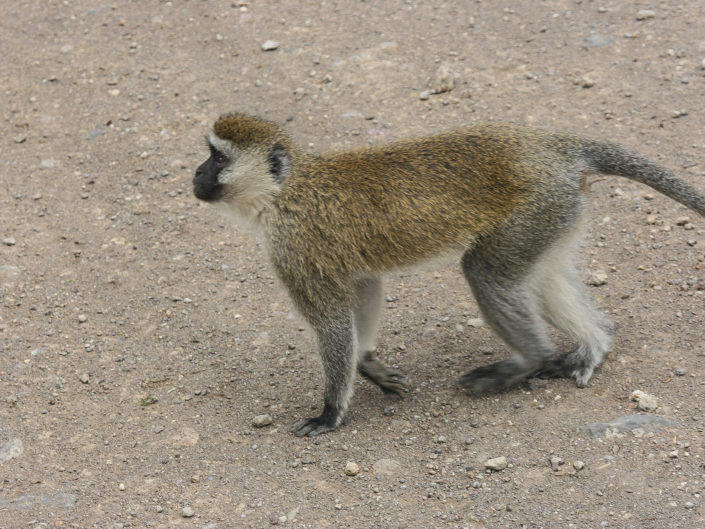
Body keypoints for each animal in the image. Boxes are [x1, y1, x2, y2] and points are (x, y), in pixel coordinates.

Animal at [192, 113, 704, 436]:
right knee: (542, 277)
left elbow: (332, 322)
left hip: (535, 208)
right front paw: (370, 364)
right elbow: (364, 287)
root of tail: (549, 144)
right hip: (555, 213)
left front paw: (331, 412)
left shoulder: (295, 244)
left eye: (218, 159)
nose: (195, 174)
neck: (283, 190)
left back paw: (530, 360)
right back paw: (593, 343)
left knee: (485, 273)